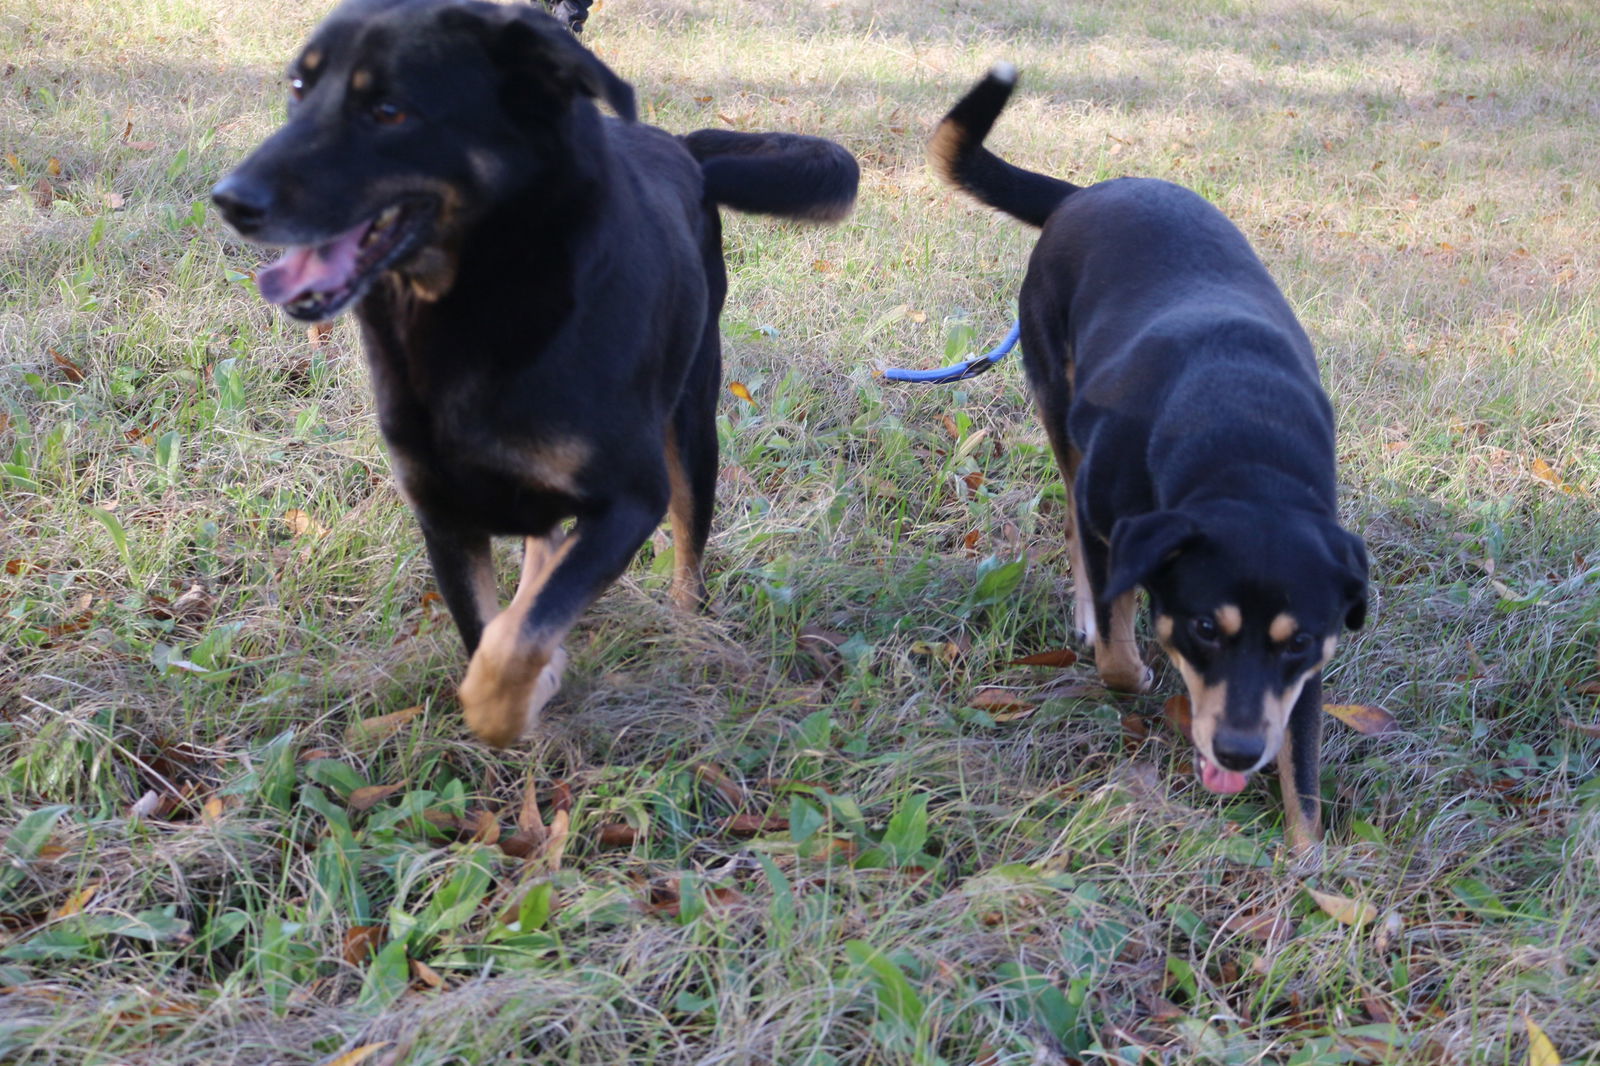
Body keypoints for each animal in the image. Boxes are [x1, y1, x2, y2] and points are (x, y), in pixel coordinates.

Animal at [217, 0, 864, 742]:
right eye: (299, 88)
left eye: (388, 110)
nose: (229, 199)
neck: (474, 304)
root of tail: (680, 148)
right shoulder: (443, 513)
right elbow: (488, 631)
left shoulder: (630, 498)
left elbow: (511, 652)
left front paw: (519, 697)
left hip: (694, 423)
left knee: (687, 547)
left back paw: (688, 625)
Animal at [934, 64, 1369, 845]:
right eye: (1204, 628)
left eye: (1297, 642)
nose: (1238, 751)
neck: (1242, 445)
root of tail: (1087, 192)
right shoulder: (1110, 518)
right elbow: (1114, 647)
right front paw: (1133, 666)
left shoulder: (1308, 655)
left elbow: (1305, 770)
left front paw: (1307, 859)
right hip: (1058, 405)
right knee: (1079, 536)